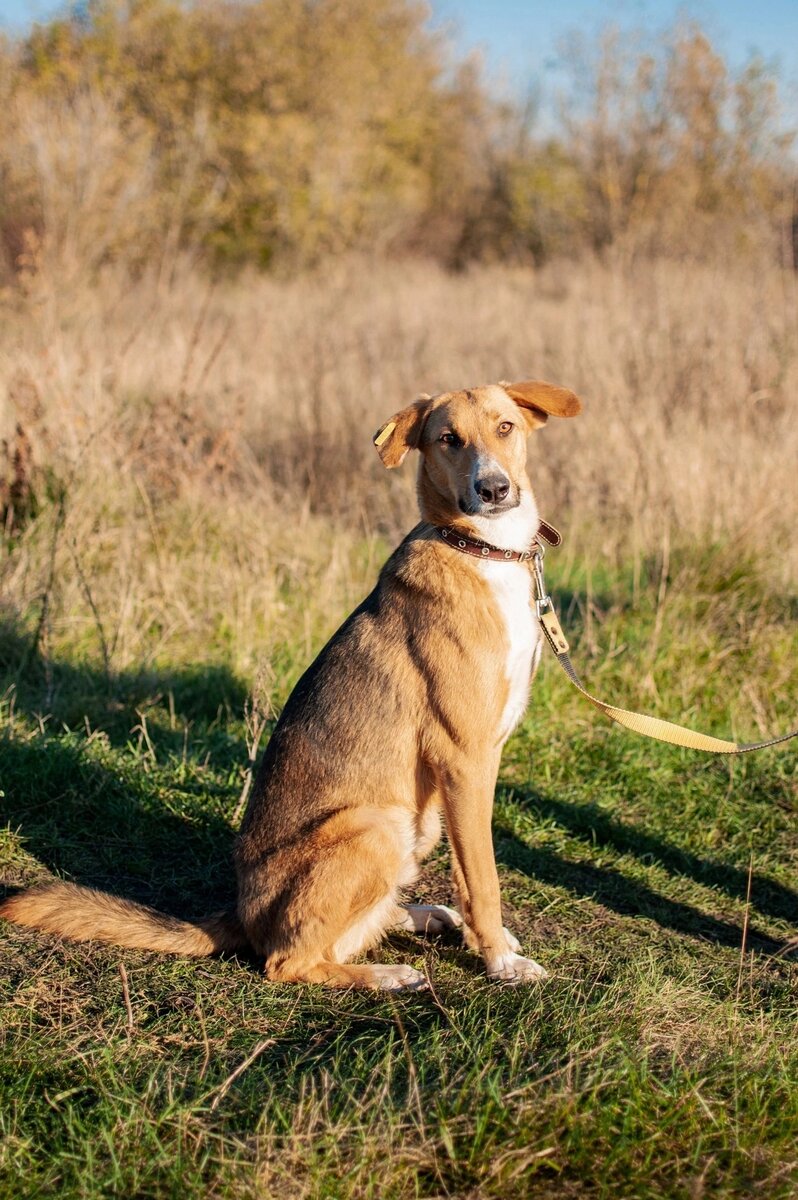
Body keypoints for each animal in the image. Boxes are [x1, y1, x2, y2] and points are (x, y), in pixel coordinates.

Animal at [3, 379, 583, 988]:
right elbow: (482, 877)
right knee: (289, 960)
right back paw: (384, 975)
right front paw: (500, 961)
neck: (483, 549)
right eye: (448, 439)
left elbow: (473, 873)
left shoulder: (477, 763)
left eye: (505, 427)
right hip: (376, 825)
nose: (493, 489)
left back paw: (422, 916)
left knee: (360, 924)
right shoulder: (464, 758)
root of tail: (240, 914)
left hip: (410, 829)